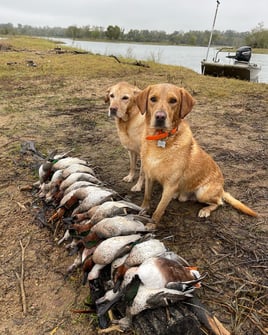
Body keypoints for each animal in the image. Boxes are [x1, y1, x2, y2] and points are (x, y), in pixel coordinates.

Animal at [136, 83, 258, 226]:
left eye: (173, 100)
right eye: (153, 99)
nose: (160, 117)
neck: (160, 139)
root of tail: (222, 188)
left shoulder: (170, 186)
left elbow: (159, 210)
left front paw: (151, 225)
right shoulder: (149, 176)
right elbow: (147, 196)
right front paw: (142, 209)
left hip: (202, 193)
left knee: (219, 203)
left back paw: (205, 210)